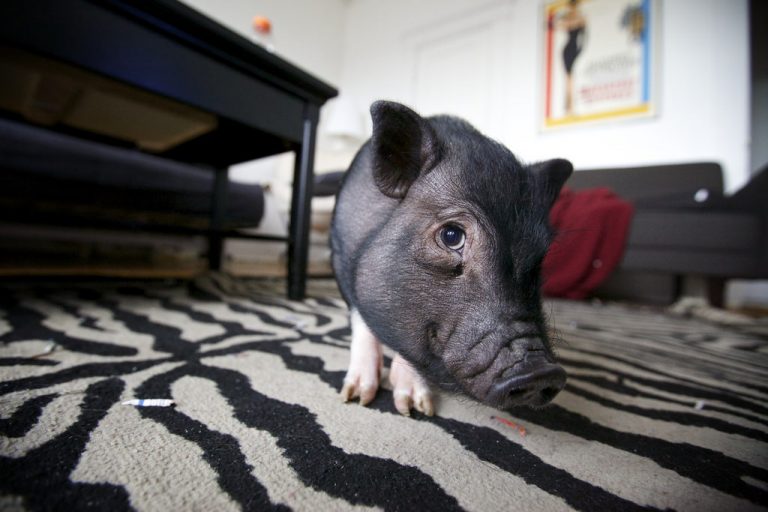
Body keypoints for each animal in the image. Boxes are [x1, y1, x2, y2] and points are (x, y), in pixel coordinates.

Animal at [330, 101, 572, 416]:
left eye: (539, 257)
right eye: (451, 235)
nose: (541, 372)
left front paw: (415, 406)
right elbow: (362, 321)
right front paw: (357, 396)